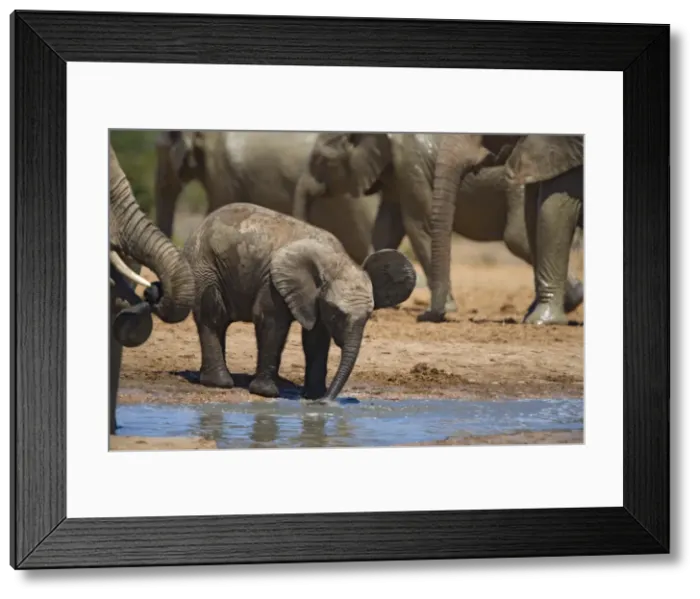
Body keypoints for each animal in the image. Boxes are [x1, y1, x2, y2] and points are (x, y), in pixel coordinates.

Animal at [181, 203, 417, 403]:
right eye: (337, 314)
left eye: (369, 317)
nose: (326, 402)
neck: (336, 261)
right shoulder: (272, 282)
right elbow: (272, 323)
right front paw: (267, 393)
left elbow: (316, 339)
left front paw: (314, 396)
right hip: (204, 266)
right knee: (213, 315)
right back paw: (219, 383)